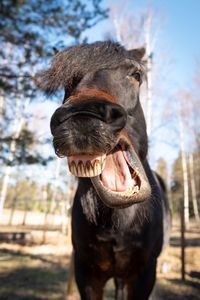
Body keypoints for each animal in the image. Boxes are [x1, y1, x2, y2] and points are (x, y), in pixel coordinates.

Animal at [36, 41, 170, 298]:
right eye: (67, 81)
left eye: (136, 75)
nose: (83, 117)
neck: (118, 221)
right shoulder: (87, 274)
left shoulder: (144, 274)